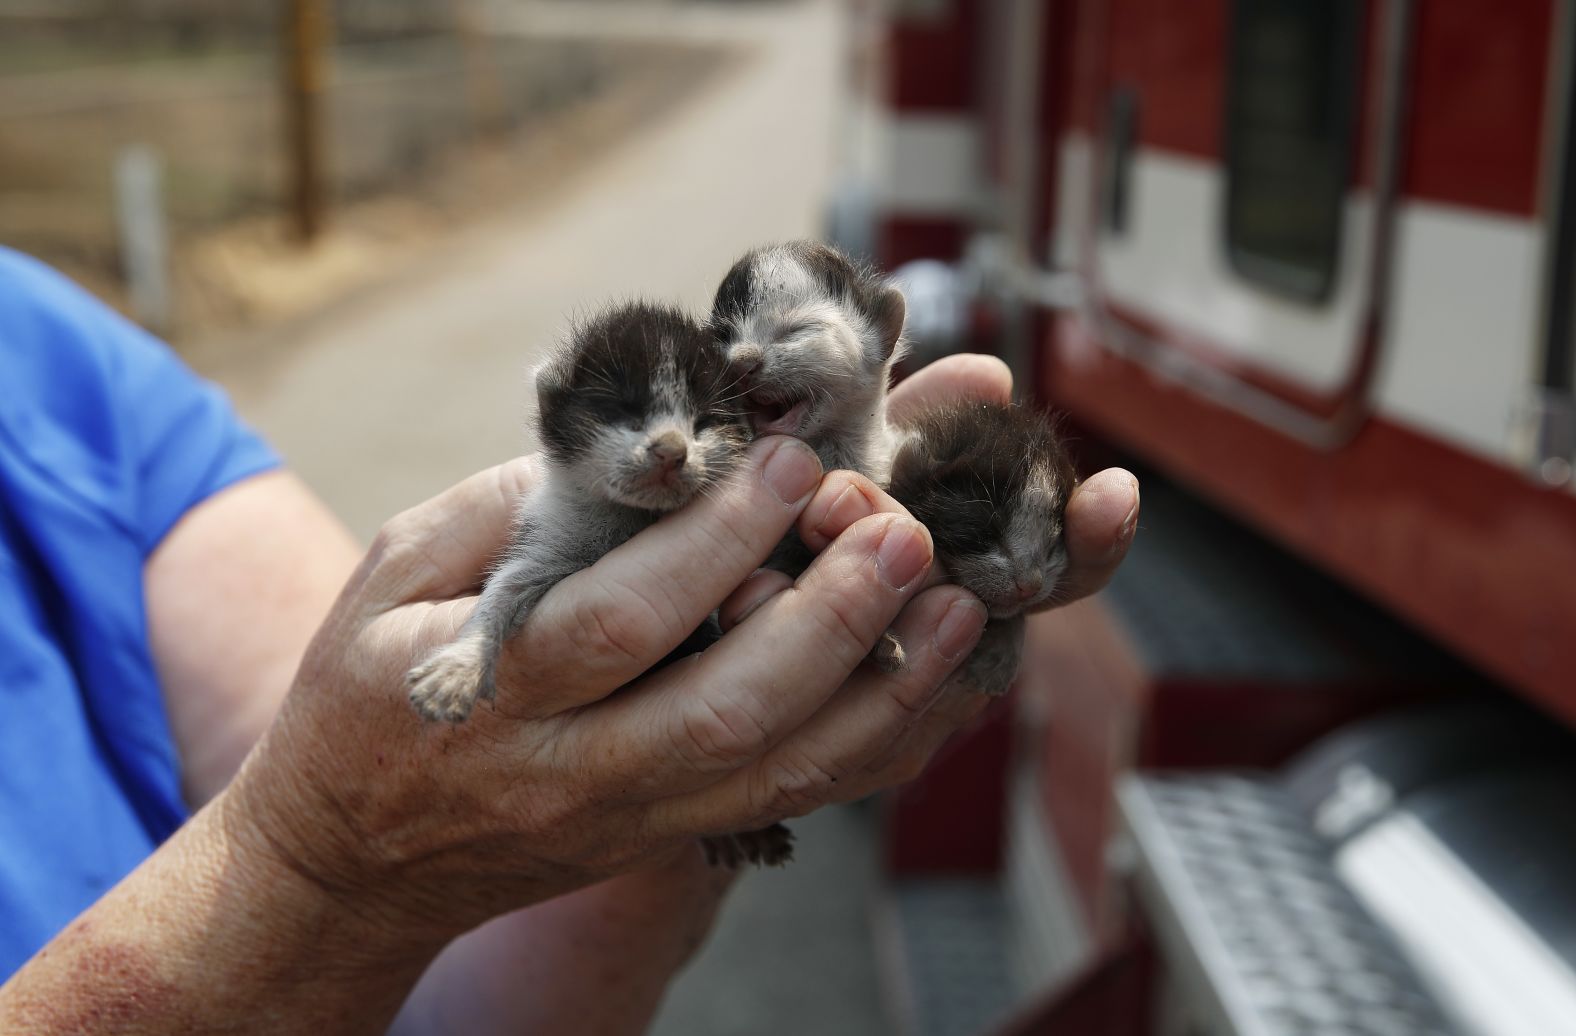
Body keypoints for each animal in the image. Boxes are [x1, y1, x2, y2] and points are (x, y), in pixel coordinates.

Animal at [406, 299, 750, 719]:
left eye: (703, 422)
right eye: (623, 411)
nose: (671, 451)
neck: (632, 515)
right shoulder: (548, 544)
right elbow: (505, 586)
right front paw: (459, 667)